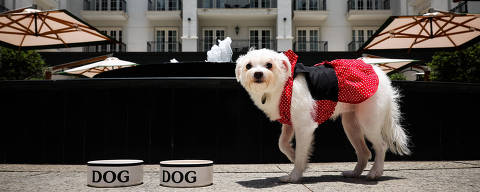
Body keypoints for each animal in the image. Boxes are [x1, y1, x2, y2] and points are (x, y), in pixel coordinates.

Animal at [235, 48, 408, 182]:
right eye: (248, 66)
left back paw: (375, 173)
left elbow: (300, 152)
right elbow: (282, 144)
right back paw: (354, 173)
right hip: (351, 125)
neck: (284, 84)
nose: (257, 74)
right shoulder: (289, 122)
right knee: (364, 152)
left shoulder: (304, 127)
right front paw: (295, 157)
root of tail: (379, 73)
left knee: (381, 146)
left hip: (368, 121)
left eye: (269, 65)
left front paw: (295, 175)